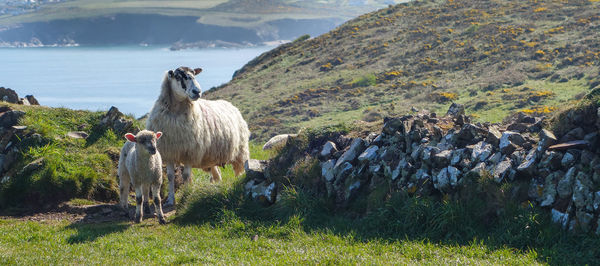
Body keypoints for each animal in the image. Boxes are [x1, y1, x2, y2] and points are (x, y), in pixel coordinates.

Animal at [146, 66, 250, 206]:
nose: (197, 91)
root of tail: (231, 105)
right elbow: (170, 177)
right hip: (212, 158)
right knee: (217, 175)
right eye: (178, 76)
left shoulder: (190, 152)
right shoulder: (170, 152)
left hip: (240, 151)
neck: (176, 113)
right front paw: (171, 200)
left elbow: (185, 176)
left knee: (239, 170)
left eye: (194, 75)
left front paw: (185, 196)